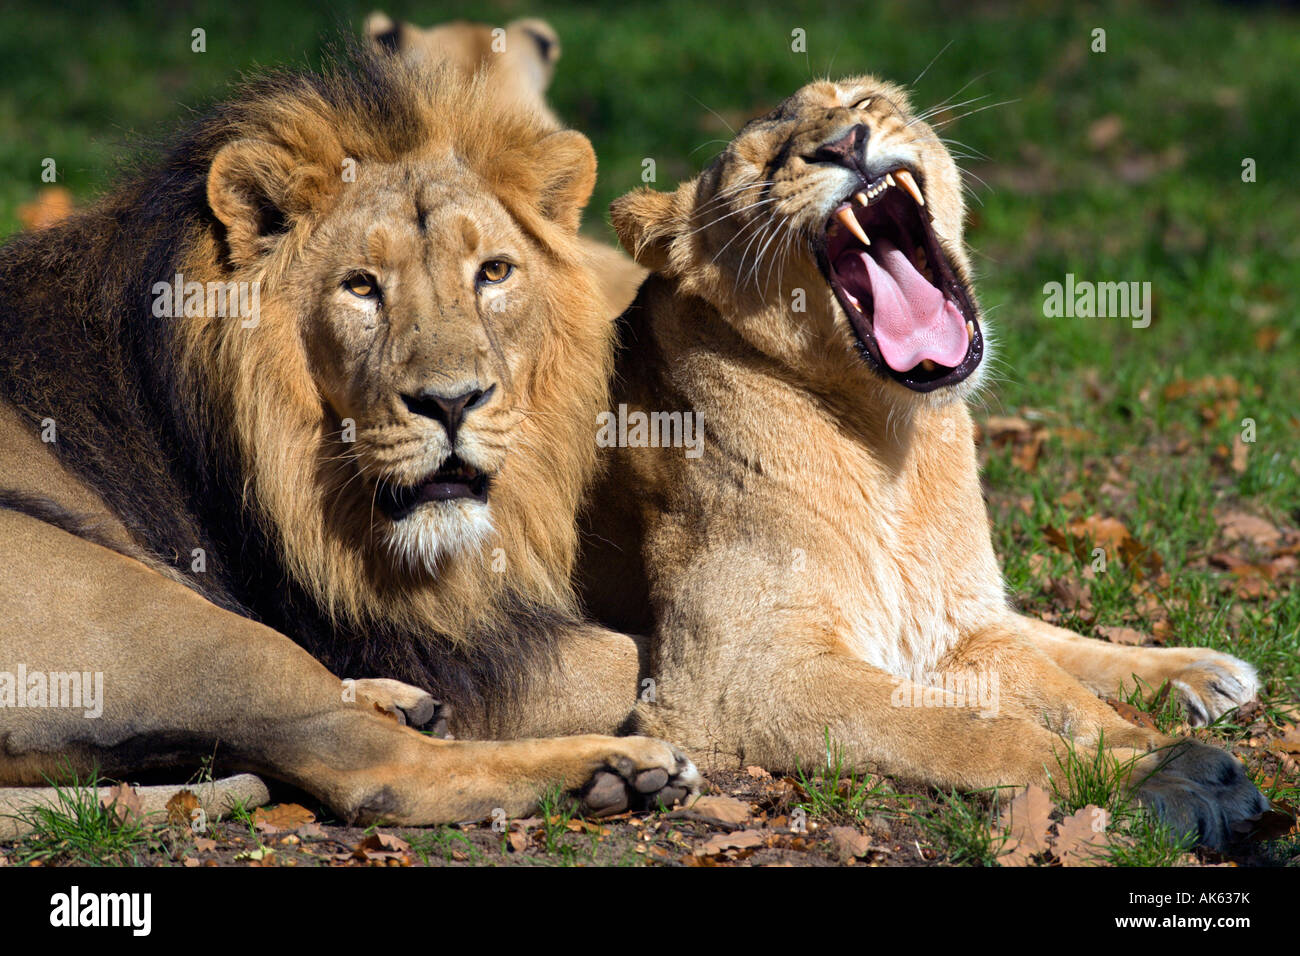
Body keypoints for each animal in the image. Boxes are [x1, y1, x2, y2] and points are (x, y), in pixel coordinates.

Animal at [0, 42, 702, 822]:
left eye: (494, 272)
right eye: (361, 286)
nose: (452, 403)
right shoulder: (450, 650)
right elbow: (638, 660)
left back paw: (398, 702)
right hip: (152, 615)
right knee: (379, 768)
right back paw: (616, 768)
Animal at [582, 78, 1268, 848]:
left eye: (860, 100)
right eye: (762, 167)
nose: (845, 143)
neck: (893, 439)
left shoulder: (959, 630)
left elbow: (1061, 694)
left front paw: (1157, 751)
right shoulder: (727, 683)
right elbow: (974, 730)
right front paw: (1157, 779)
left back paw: (1204, 670)